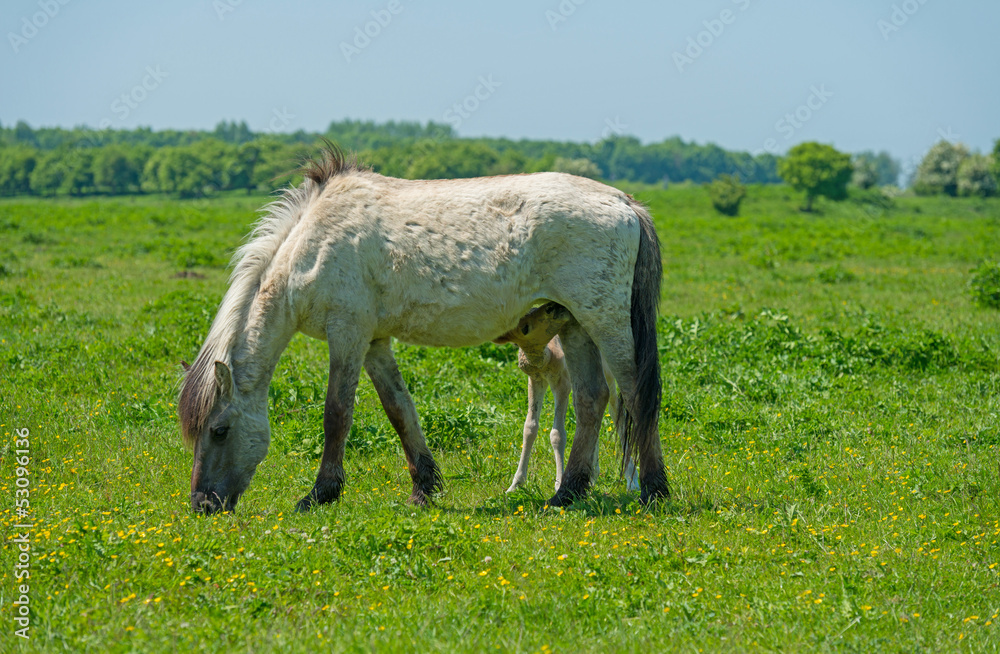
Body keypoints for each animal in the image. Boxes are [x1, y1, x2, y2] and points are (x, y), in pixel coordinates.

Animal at [493, 302, 639, 493]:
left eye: (526, 327)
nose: (525, 362)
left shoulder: (562, 382)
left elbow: (557, 434)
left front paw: (559, 483)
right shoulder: (535, 380)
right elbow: (529, 427)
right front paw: (515, 484)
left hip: (608, 369)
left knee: (616, 410)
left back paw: (632, 481)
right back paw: (592, 476)